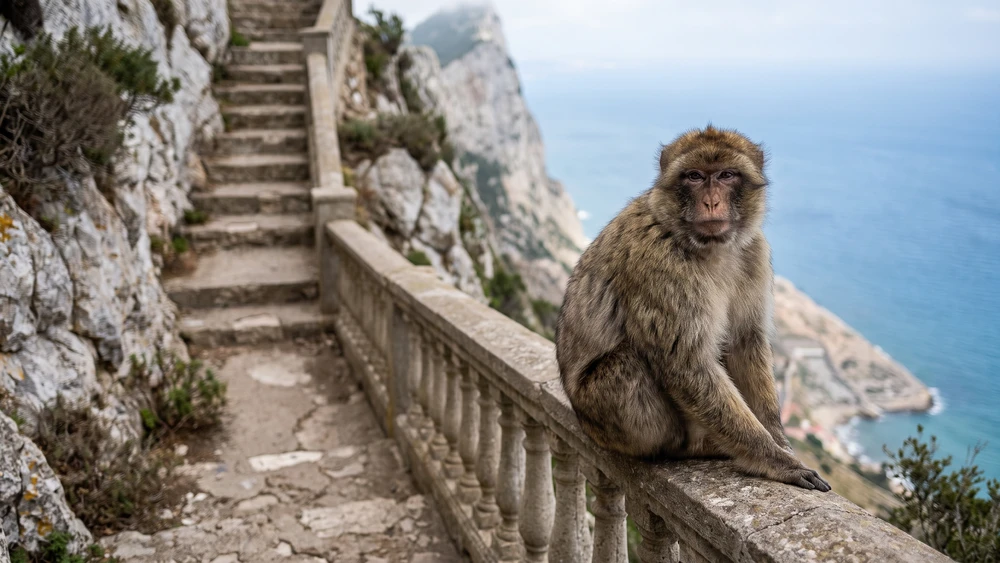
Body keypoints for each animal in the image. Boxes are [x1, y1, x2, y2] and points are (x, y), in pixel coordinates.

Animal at [556, 125, 830, 491]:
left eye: (727, 175)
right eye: (695, 176)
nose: (711, 202)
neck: (706, 246)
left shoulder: (754, 252)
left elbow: (745, 341)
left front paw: (778, 440)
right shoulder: (660, 263)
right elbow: (686, 362)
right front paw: (775, 460)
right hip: (606, 414)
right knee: (631, 360)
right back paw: (691, 448)